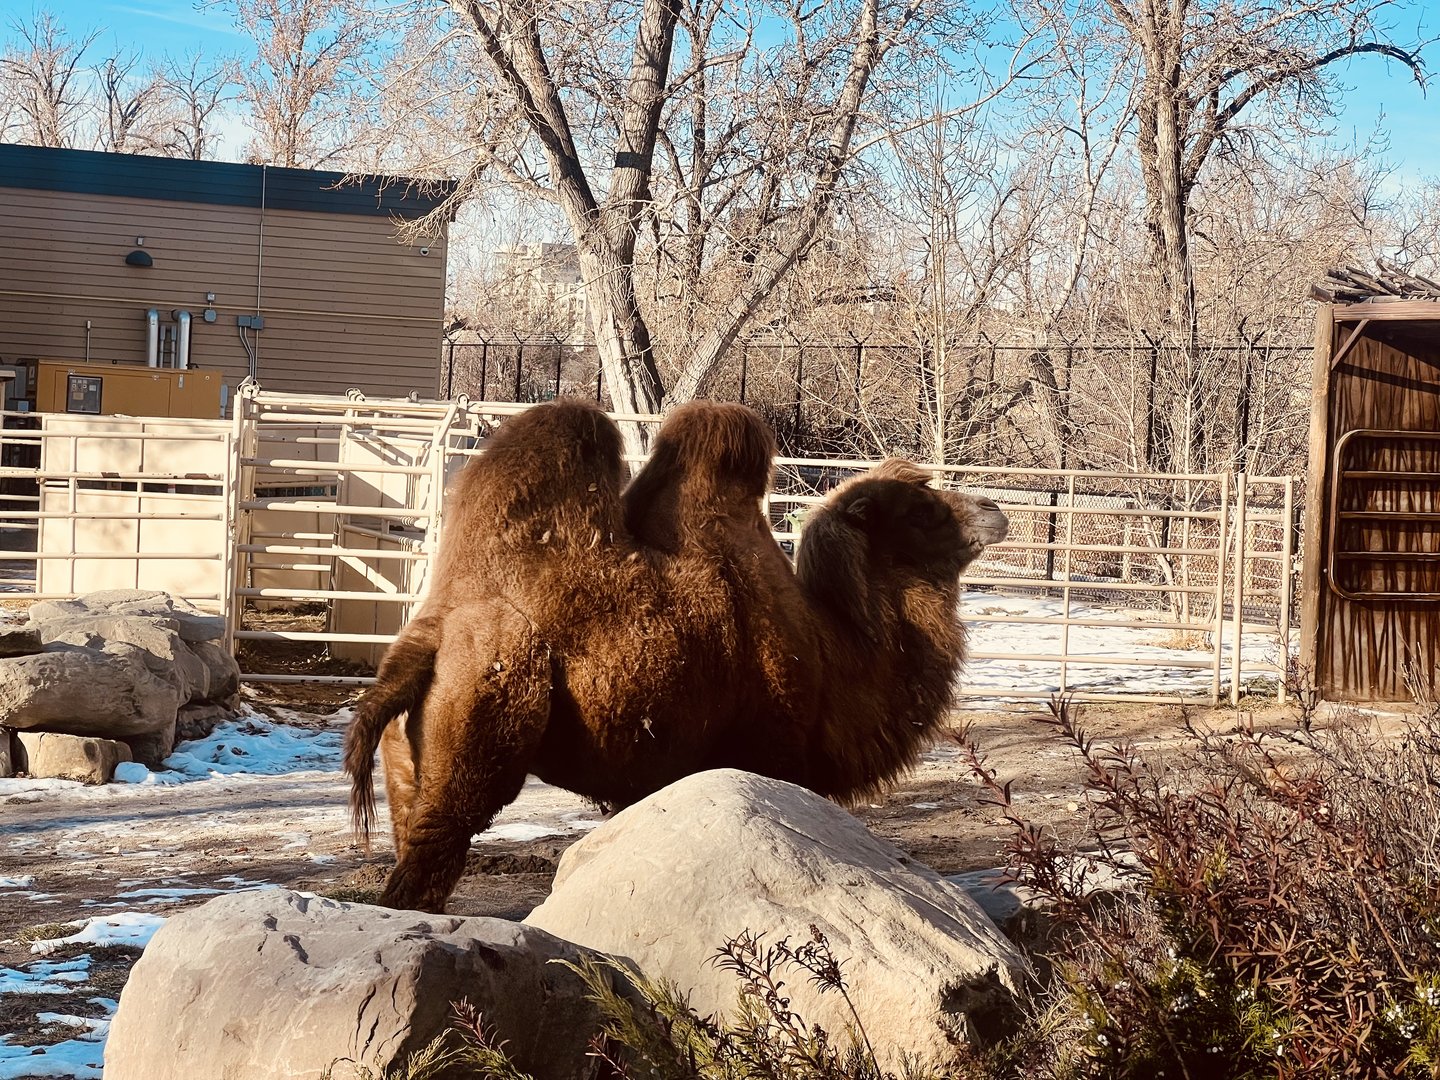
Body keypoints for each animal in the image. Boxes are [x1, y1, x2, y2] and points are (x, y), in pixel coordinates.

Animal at [344, 399, 1008, 912]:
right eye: (921, 510)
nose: (995, 510)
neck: (832, 652)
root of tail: (428, 637)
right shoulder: (767, 751)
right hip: (483, 711)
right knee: (433, 854)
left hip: (408, 756)